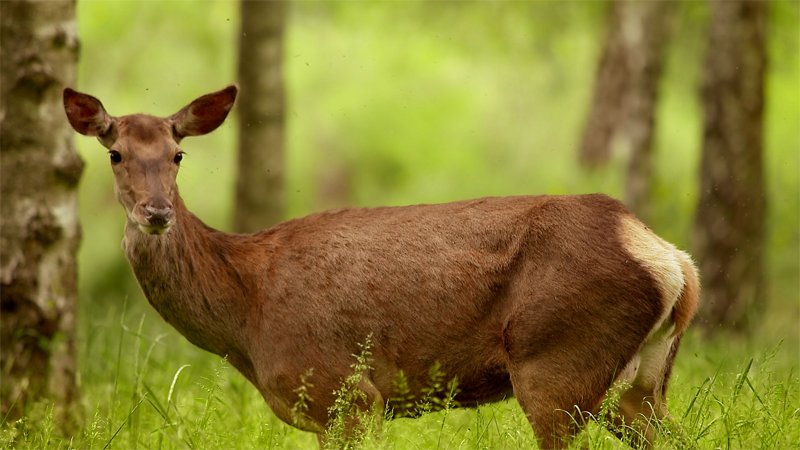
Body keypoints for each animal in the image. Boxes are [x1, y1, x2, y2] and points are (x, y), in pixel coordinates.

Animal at [64, 85, 700, 450]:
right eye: (115, 153)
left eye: (178, 154)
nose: (156, 212)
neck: (246, 315)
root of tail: (673, 261)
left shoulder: (343, 390)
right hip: (640, 384)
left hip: (556, 361)